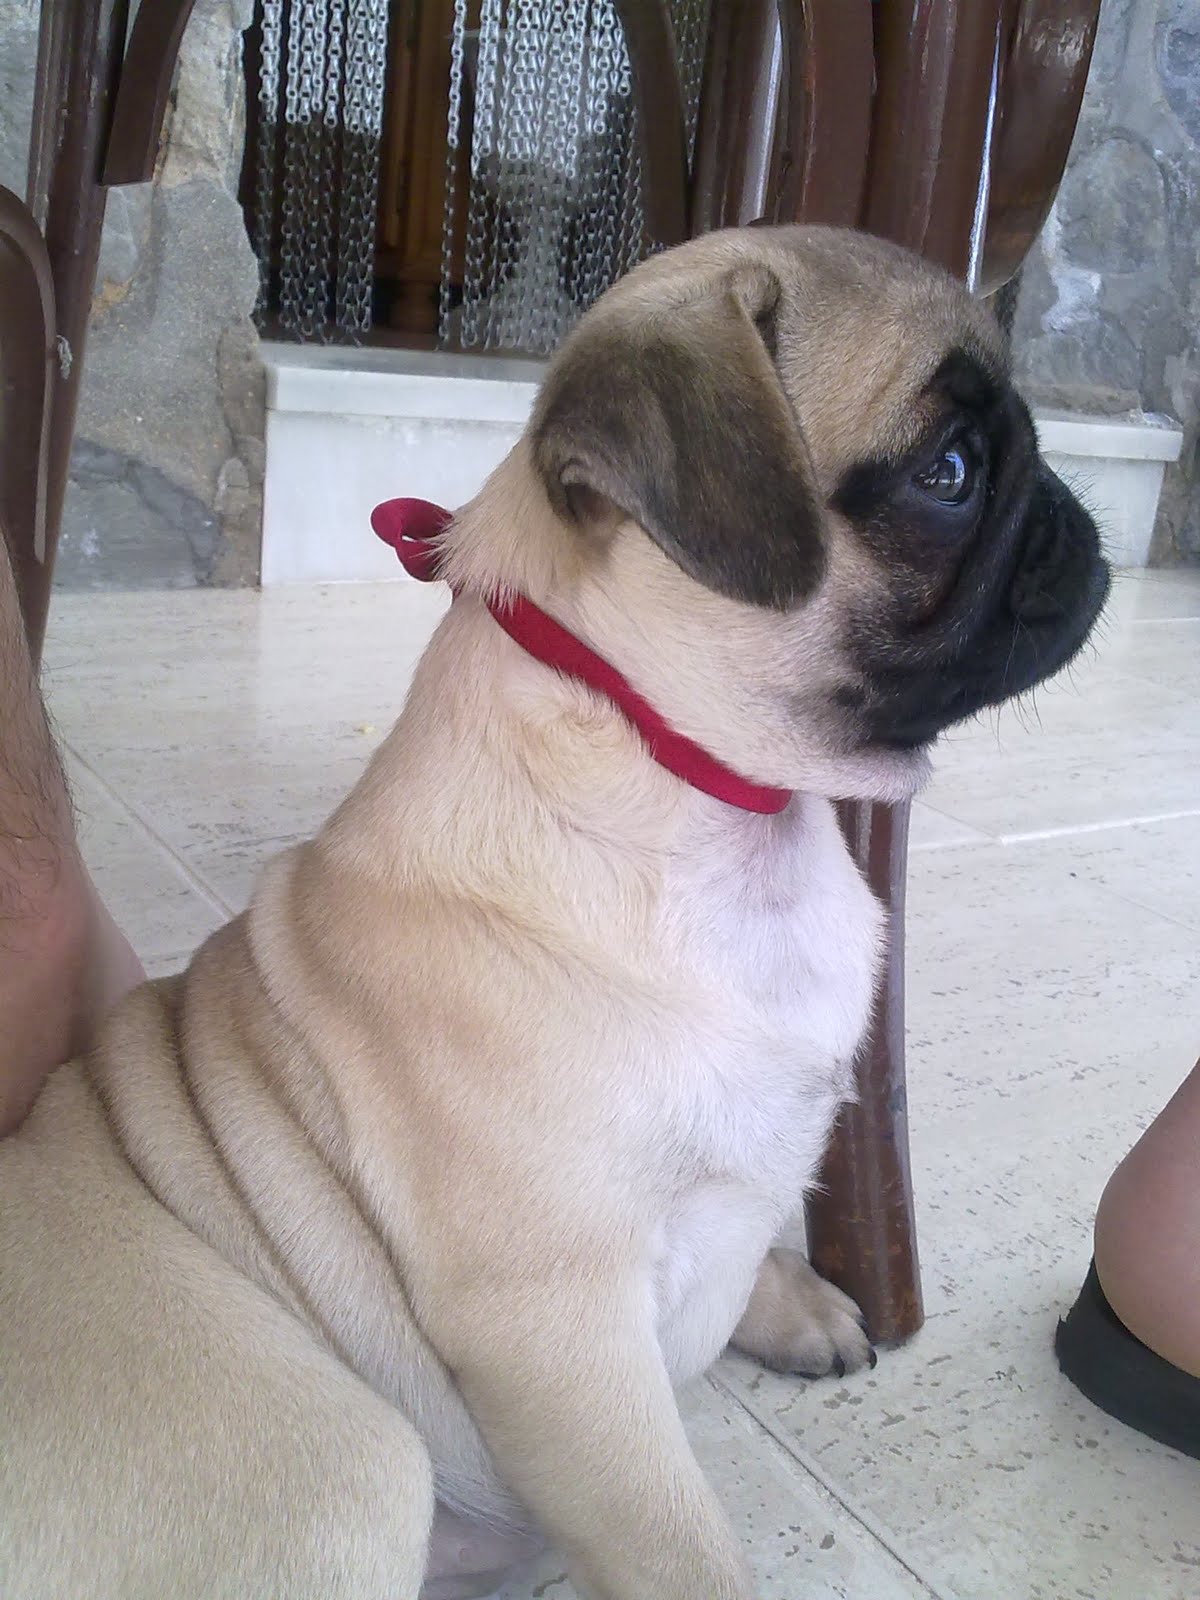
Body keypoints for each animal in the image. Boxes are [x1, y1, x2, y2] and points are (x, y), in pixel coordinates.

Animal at [0, 226, 1109, 1600]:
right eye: (950, 472)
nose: (1075, 513)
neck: (699, 793)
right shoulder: (561, 1333)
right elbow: (681, 1546)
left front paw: (788, 1293)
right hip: (351, 1461)